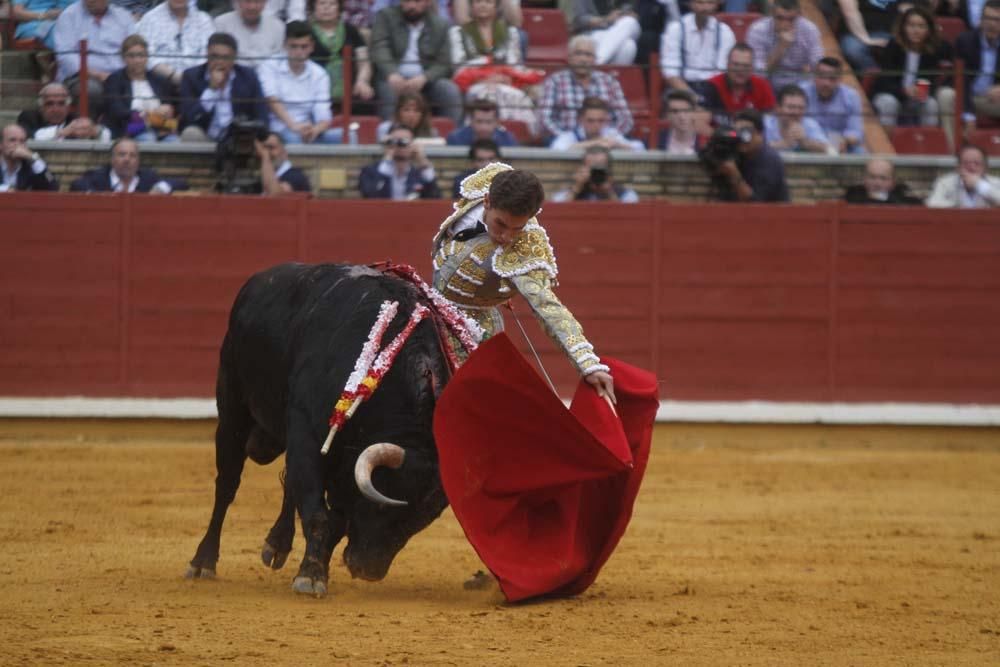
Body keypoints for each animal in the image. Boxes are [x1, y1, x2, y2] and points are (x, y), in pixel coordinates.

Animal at [187, 264, 450, 596]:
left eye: (421, 520)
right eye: (383, 507)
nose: (369, 570)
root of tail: (258, 280)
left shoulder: (344, 462)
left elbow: (331, 518)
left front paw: (316, 568)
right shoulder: (308, 437)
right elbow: (316, 513)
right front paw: (310, 576)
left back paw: (276, 544)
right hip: (233, 408)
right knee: (227, 486)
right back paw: (203, 562)